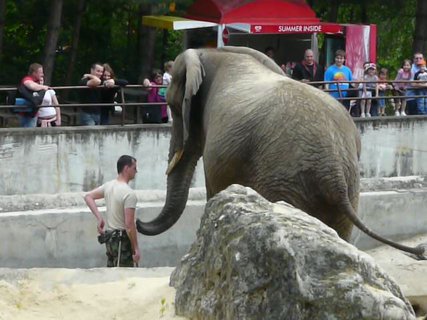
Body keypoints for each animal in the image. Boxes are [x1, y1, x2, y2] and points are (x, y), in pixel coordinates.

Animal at [139, 45, 426, 260]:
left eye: (173, 107)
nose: (139, 223)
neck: (210, 53)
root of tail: (332, 167)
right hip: (343, 183)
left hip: (283, 178)